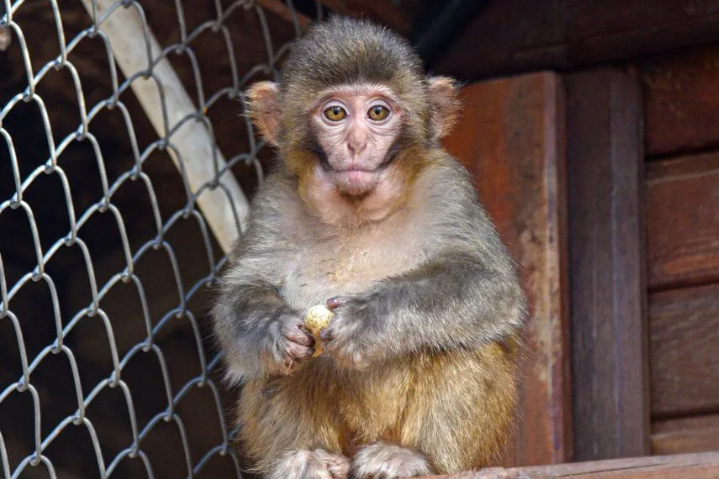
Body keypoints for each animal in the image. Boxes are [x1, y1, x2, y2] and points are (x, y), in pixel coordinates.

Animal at [211, 15, 524, 479]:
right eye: (335, 113)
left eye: (378, 112)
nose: (356, 143)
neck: (356, 212)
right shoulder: (274, 200)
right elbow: (241, 292)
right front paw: (272, 327)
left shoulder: (447, 185)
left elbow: (489, 283)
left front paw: (370, 318)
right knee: (280, 369)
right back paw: (308, 457)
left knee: (460, 342)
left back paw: (411, 457)